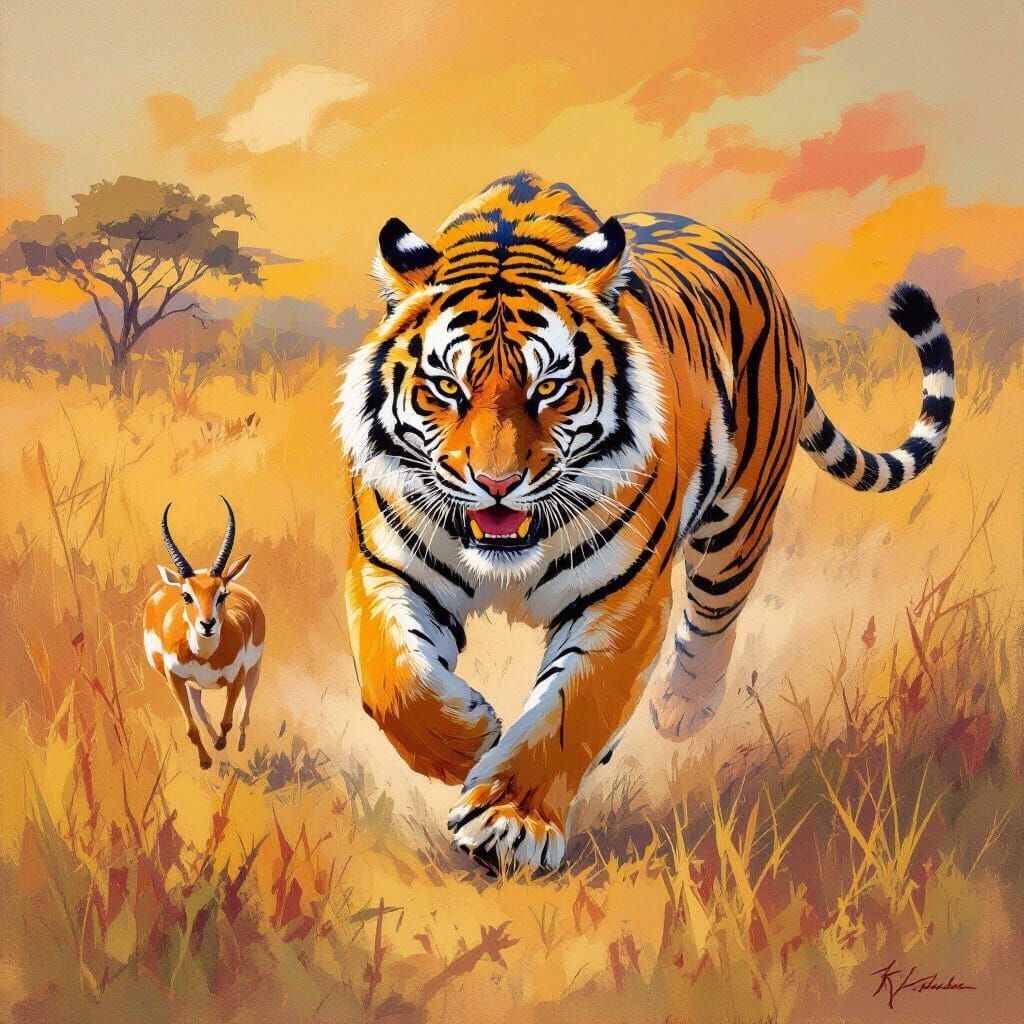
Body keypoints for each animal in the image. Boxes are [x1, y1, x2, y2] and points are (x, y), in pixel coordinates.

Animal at [337, 171, 954, 874]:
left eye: (550, 387)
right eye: (447, 387)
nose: (497, 483)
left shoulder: (622, 597)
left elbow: (574, 708)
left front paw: (510, 822)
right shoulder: (388, 566)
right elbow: (394, 682)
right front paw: (472, 740)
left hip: (736, 530)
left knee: (713, 619)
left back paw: (681, 706)